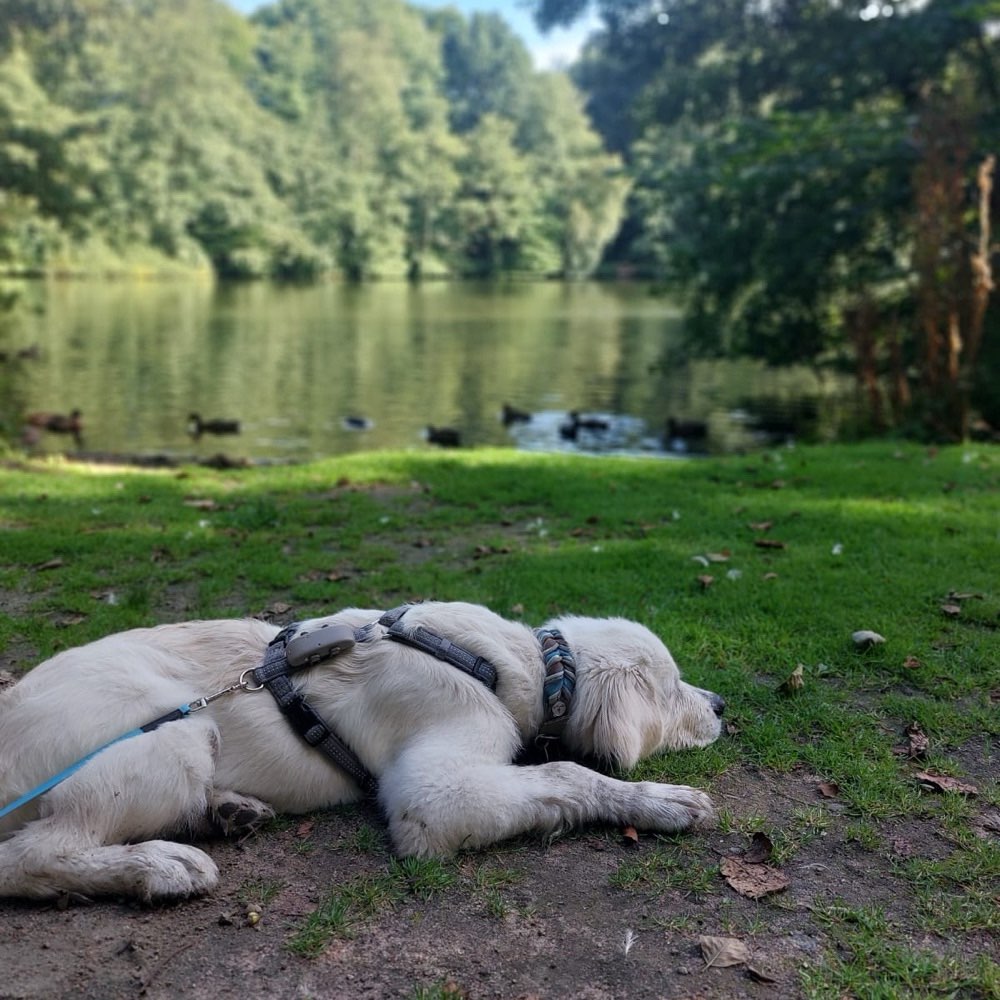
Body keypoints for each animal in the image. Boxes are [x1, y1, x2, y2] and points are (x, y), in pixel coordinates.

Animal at [0, 600, 720, 908]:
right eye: (672, 688)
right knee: (28, 857)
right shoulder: (432, 796)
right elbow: (568, 772)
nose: (722, 706)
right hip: (173, 735)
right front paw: (661, 801)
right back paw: (159, 866)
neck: (517, 663)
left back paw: (228, 811)